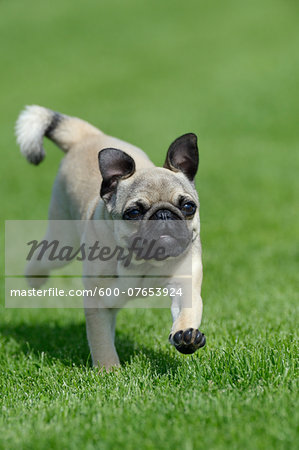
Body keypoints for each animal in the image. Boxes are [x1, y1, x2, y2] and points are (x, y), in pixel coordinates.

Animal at [15, 105, 206, 370]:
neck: (144, 262)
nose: (164, 214)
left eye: (188, 207)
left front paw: (186, 336)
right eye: (133, 213)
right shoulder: (97, 301)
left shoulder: (185, 285)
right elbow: (101, 340)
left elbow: (187, 311)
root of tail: (87, 136)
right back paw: (35, 278)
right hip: (63, 240)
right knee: (42, 258)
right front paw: (109, 371)